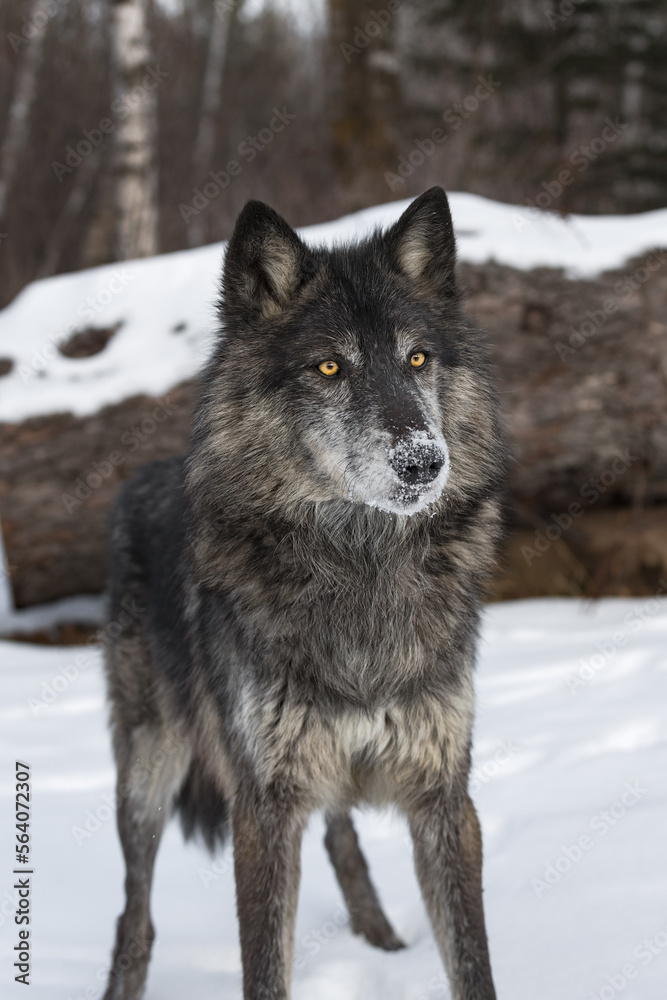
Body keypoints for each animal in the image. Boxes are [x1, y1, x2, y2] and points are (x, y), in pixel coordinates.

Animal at [102, 186, 507, 1000]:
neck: (362, 569)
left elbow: (472, 964)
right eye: (328, 367)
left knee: (341, 834)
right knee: (135, 916)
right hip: (149, 775)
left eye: (417, 358)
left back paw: (380, 939)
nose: (423, 461)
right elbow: (265, 967)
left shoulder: (444, 797)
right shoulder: (262, 807)